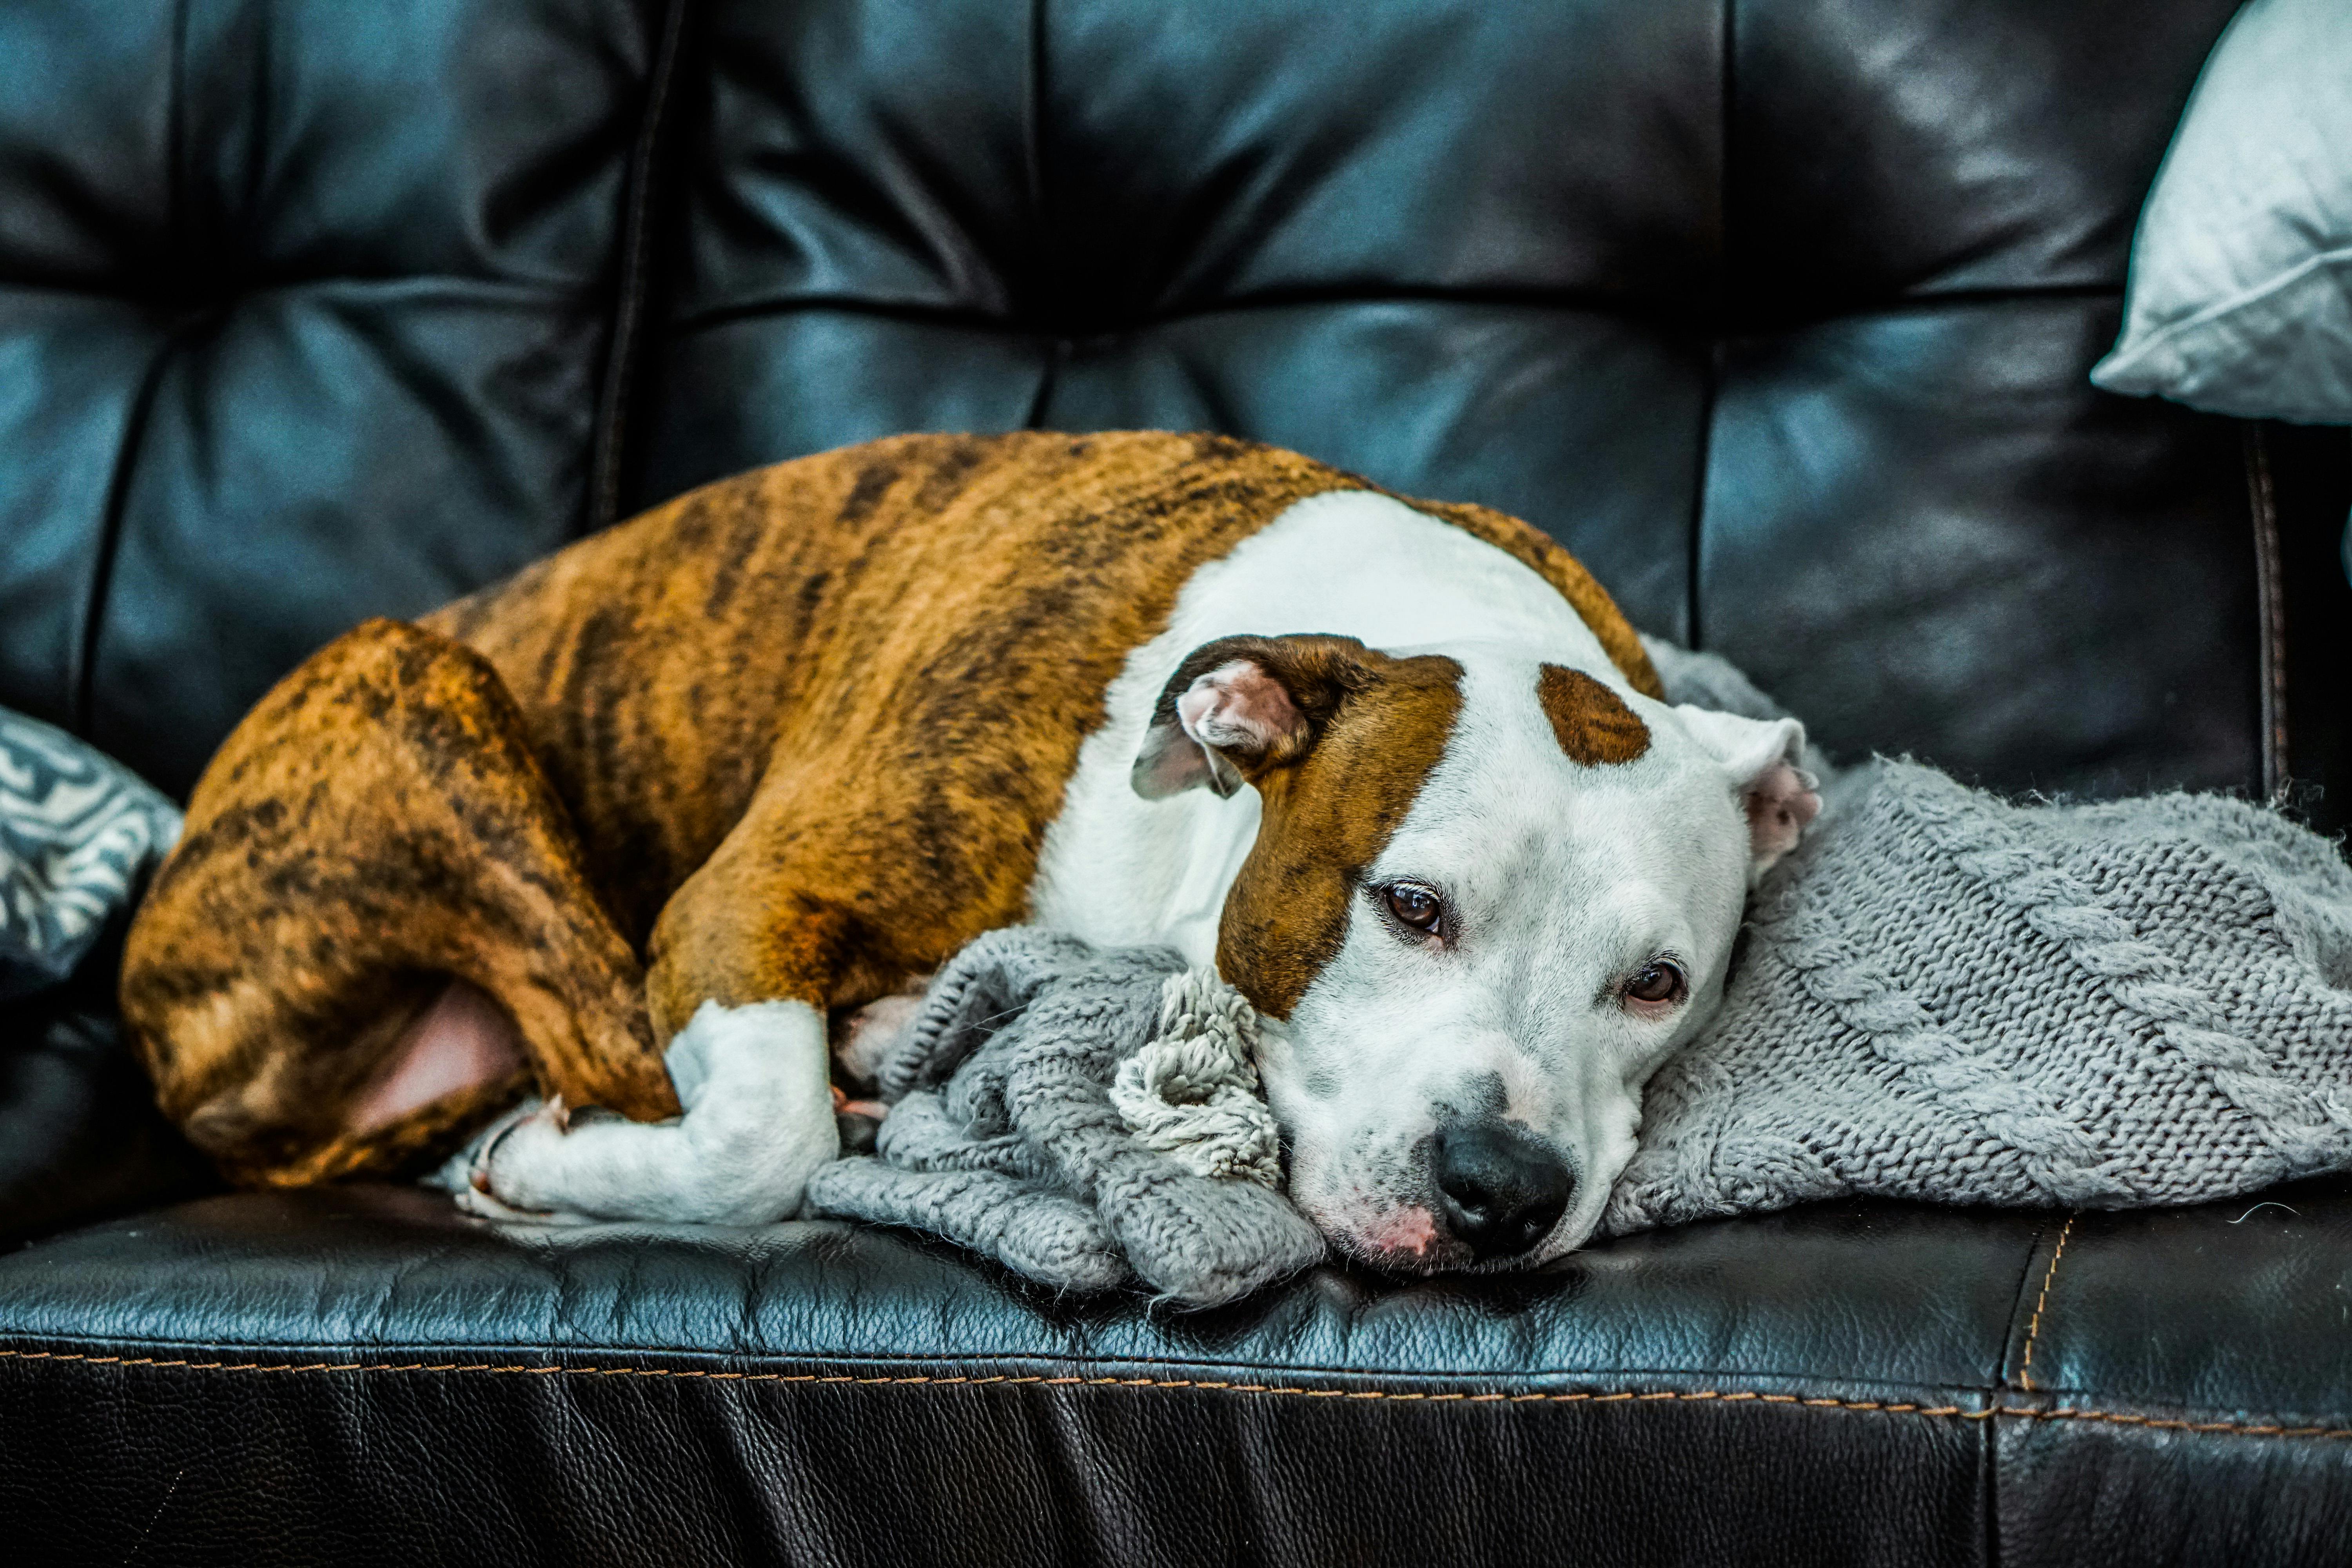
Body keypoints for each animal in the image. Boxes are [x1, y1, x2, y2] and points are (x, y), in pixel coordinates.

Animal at [124, 432, 1816, 1279]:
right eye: (1410, 906)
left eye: (1660, 985)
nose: (1503, 1190)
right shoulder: (748, 897)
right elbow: (761, 1141)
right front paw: (568, 1168)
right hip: (420, 685)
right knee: (623, 1043)